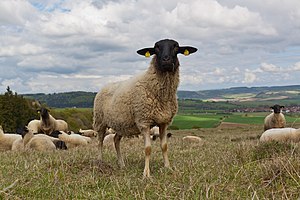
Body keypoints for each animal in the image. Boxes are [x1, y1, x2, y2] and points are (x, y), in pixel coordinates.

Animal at [92, 38, 198, 177]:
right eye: (156, 47)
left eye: (176, 47)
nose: (166, 60)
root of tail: (103, 87)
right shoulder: (144, 121)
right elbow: (147, 149)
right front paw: (146, 173)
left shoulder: (164, 122)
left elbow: (164, 146)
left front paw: (168, 167)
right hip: (100, 121)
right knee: (99, 141)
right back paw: (99, 162)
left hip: (121, 124)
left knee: (116, 140)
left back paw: (121, 164)